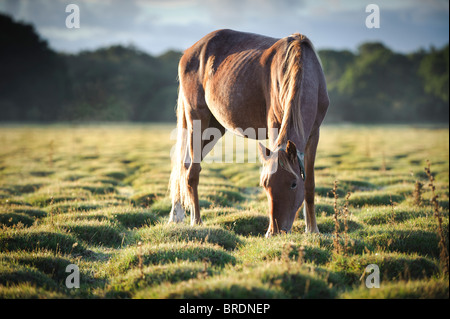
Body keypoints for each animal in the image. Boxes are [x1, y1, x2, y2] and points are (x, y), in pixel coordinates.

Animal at [169, 28, 330, 236]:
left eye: (293, 184)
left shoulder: (313, 134)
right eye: (265, 184)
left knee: (184, 164)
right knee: (191, 171)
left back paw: (177, 215)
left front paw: (312, 229)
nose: (276, 232)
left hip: (214, 129)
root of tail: (189, 53)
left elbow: (309, 184)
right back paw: (195, 220)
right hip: (197, 120)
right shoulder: (275, 126)